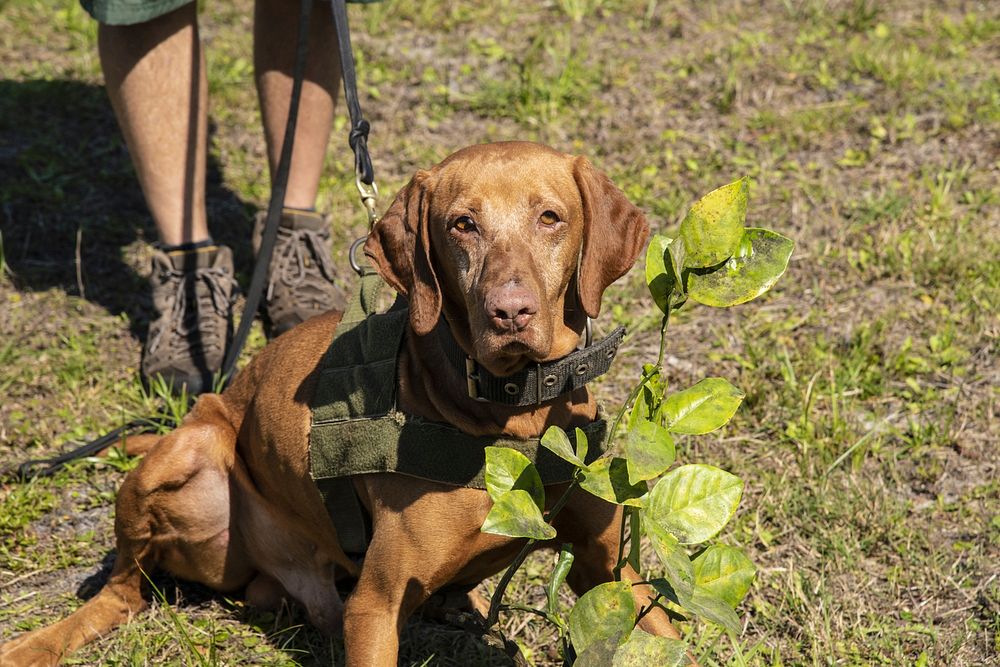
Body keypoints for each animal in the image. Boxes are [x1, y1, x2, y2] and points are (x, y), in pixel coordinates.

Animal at [0, 142, 684, 667]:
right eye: (461, 224)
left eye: (550, 217)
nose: (509, 313)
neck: (512, 417)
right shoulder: (376, 605)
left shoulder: (610, 573)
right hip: (189, 453)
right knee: (122, 592)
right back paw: (38, 643)